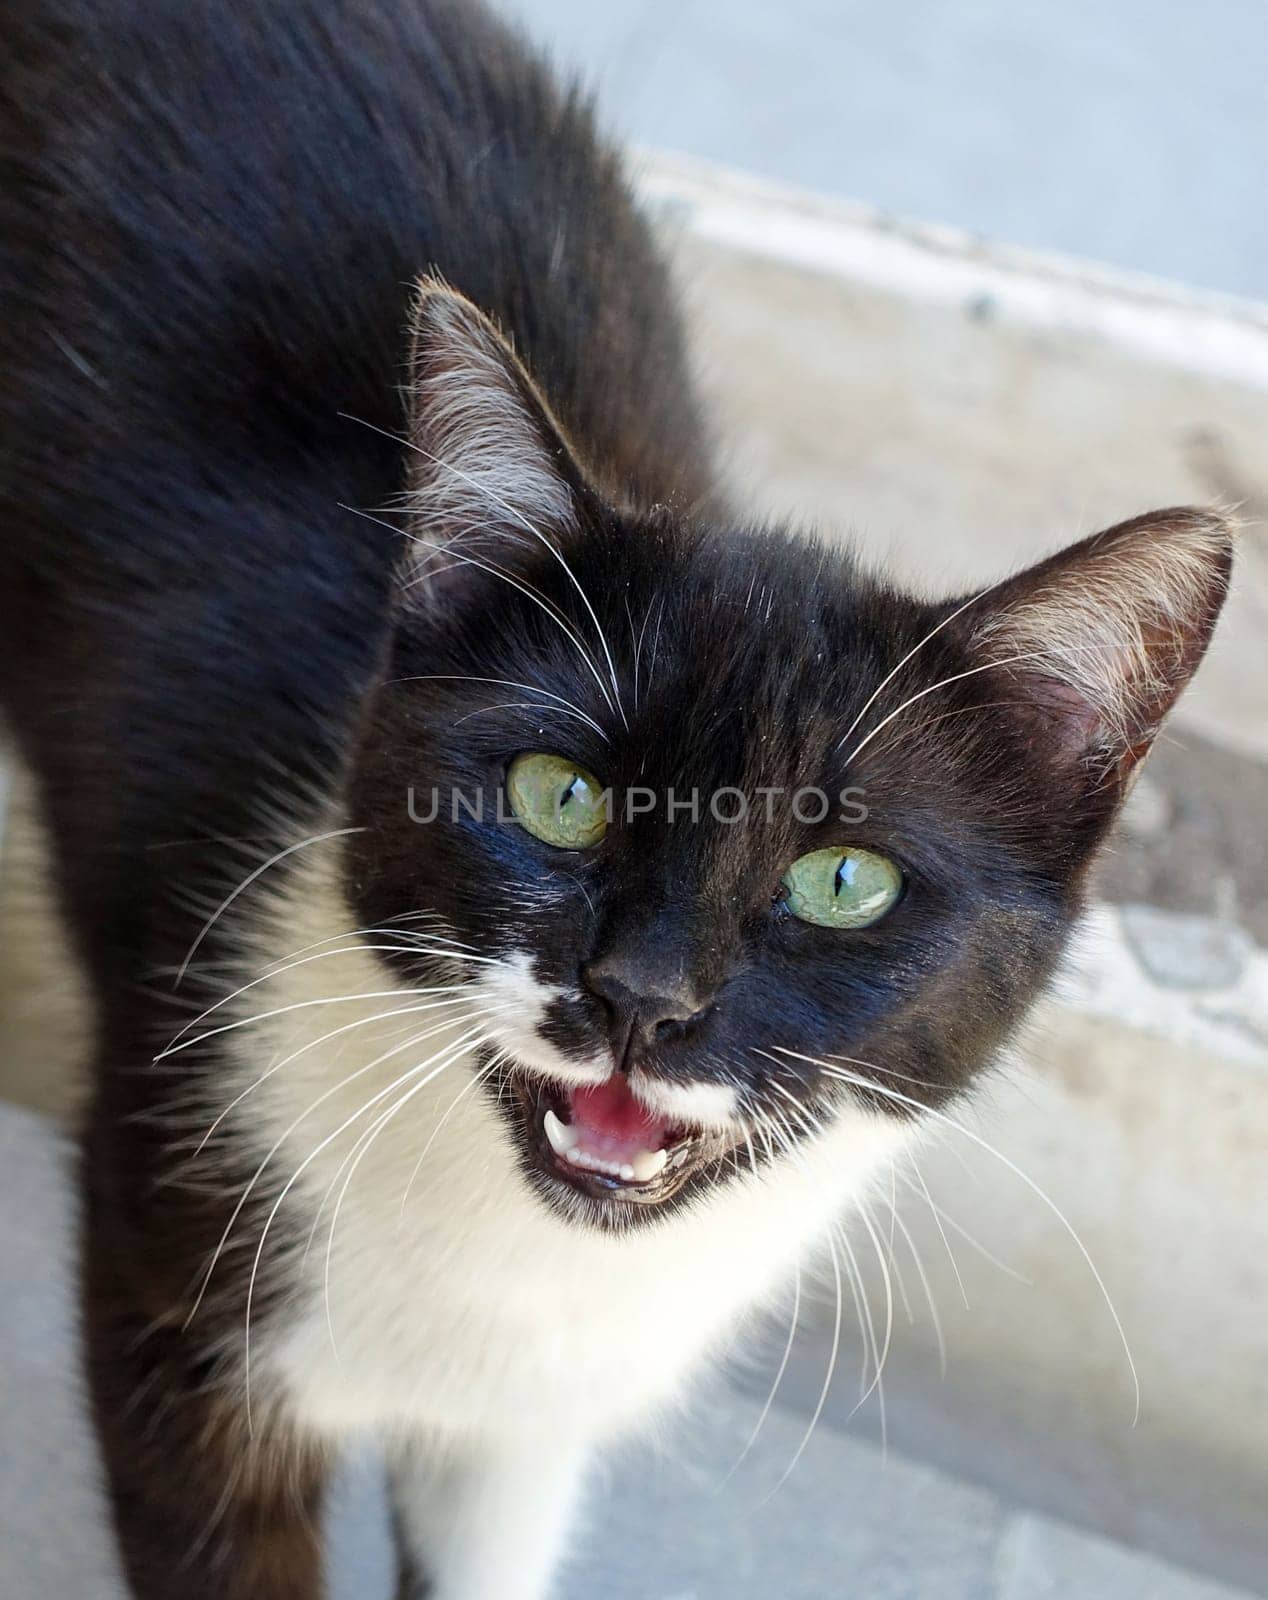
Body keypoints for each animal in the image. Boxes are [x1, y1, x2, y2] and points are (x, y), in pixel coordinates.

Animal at [0, 3, 1229, 1600]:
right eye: (559, 794)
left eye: (846, 878)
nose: (641, 997)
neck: (518, 1262)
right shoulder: (182, 1269)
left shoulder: (522, 1428)